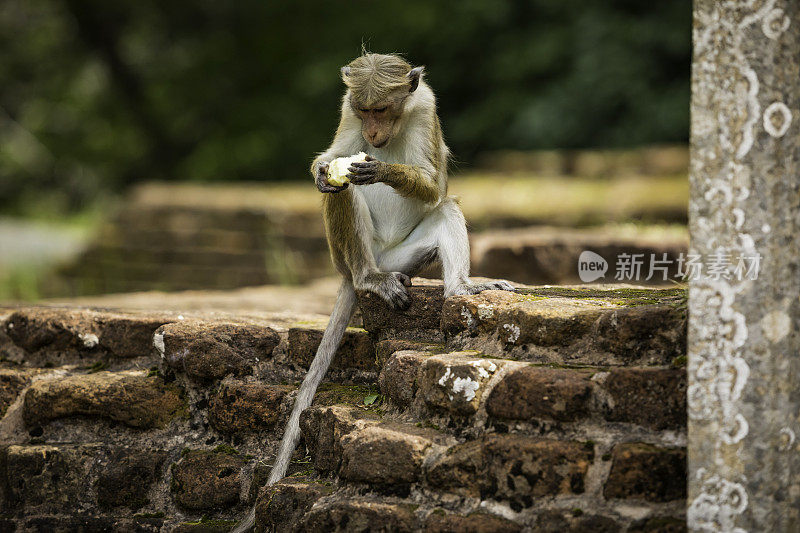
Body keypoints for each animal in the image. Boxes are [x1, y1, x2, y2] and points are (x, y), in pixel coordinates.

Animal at [234, 54, 516, 532]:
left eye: (381, 110)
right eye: (364, 111)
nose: (371, 133)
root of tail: (372, 263)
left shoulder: (425, 107)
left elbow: (433, 184)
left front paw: (383, 170)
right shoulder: (345, 111)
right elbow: (331, 162)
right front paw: (322, 171)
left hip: (405, 257)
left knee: (445, 208)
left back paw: (461, 286)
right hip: (349, 255)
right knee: (342, 194)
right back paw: (368, 276)